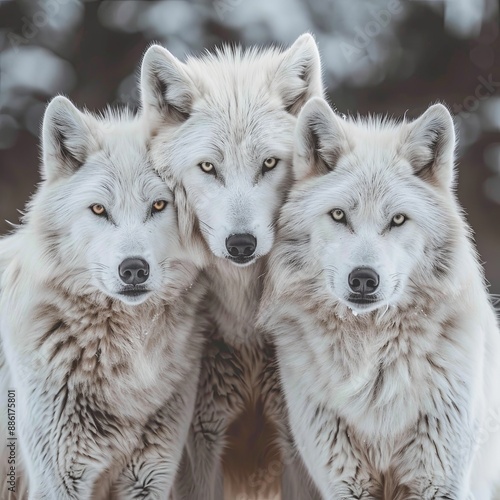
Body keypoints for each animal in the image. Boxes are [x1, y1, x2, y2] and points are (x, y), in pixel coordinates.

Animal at [140, 34, 324, 496]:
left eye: (270, 163)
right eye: (208, 166)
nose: (241, 244)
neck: (245, 326)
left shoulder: (298, 444)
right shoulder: (197, 446)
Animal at [258, 98, 500, 500]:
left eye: (398, 220)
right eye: (339, 215)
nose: (363, 279)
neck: (372, 353)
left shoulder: (438, 480)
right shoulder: (344, 480)